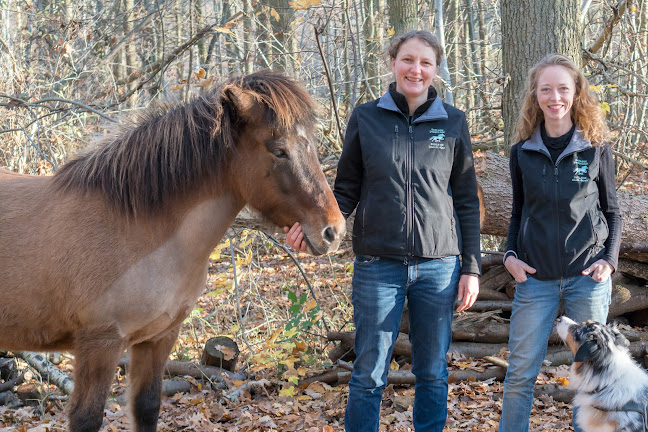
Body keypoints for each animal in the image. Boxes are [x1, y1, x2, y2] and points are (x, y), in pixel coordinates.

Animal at [0, 71, 344, 432]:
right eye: (279, 151)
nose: (333, 231)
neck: (137, 229)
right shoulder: (100, 344)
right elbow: (87, 417)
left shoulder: (159, 339)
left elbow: (147, 407)